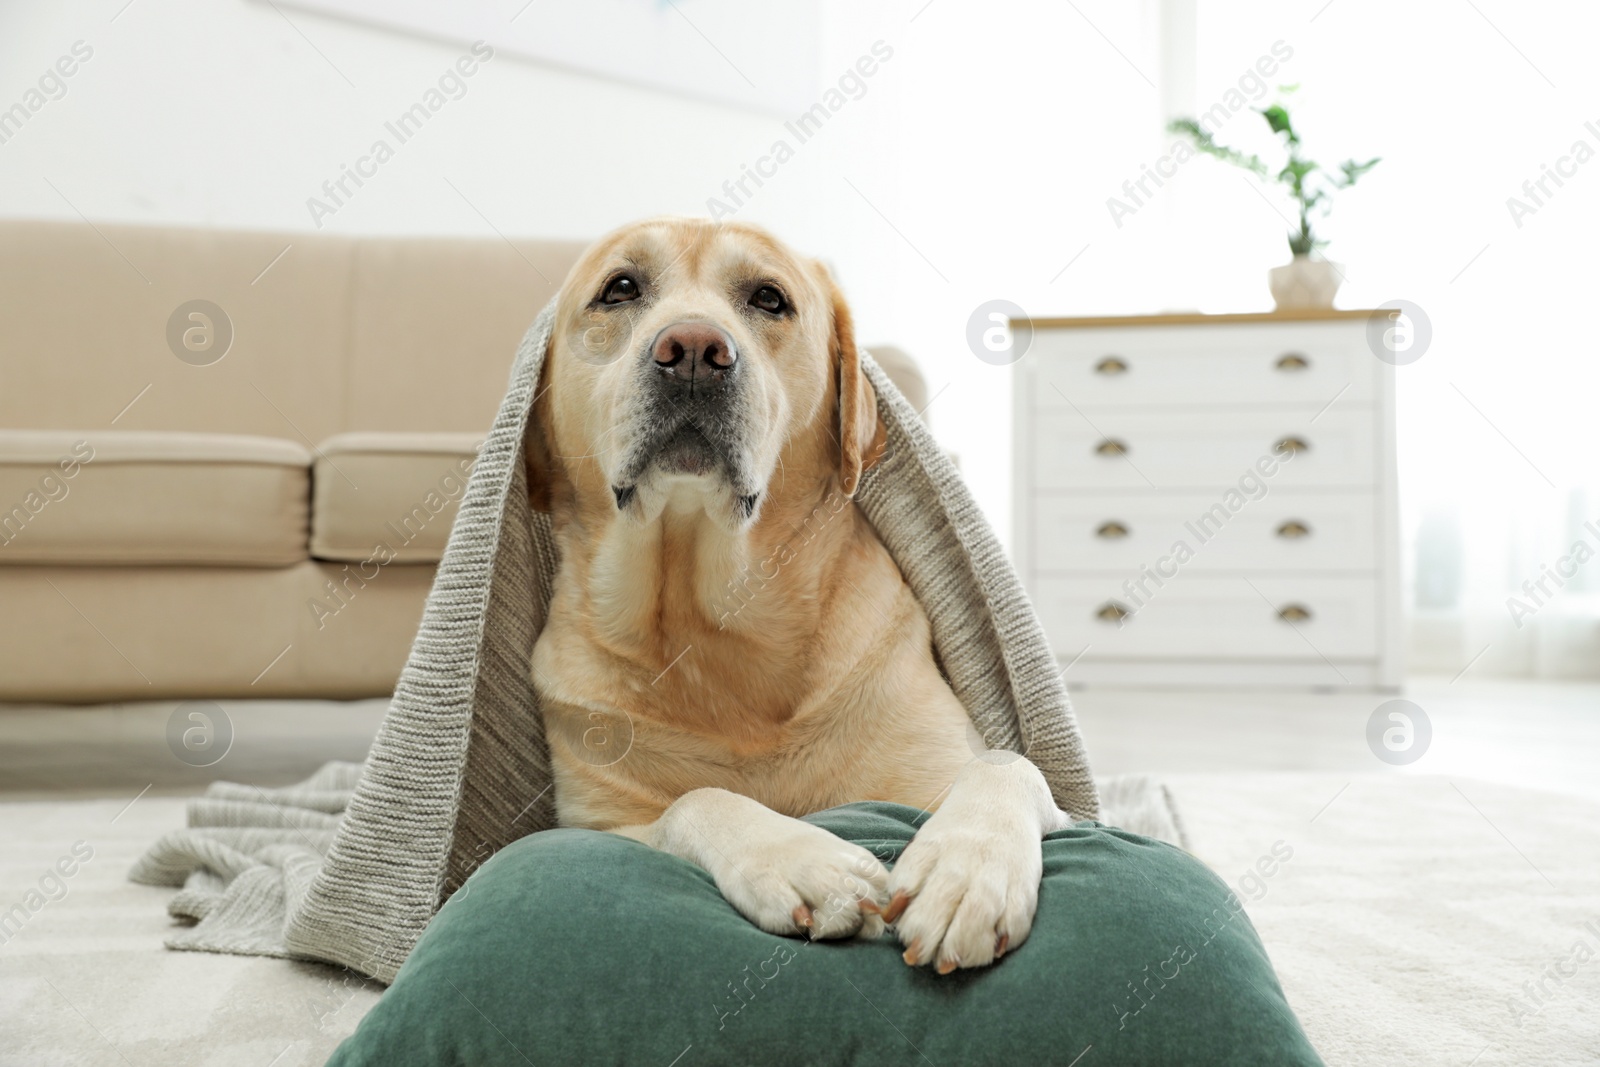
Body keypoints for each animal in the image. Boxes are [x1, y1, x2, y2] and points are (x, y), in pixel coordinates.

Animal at [528, 219, 1075, 979]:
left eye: (768, 298)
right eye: (621, 288)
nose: (692, 352)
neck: (717, 627)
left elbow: (1010, 765)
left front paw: (966, 871)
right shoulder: (597, 824)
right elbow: (696, 798)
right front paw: (798, 859)